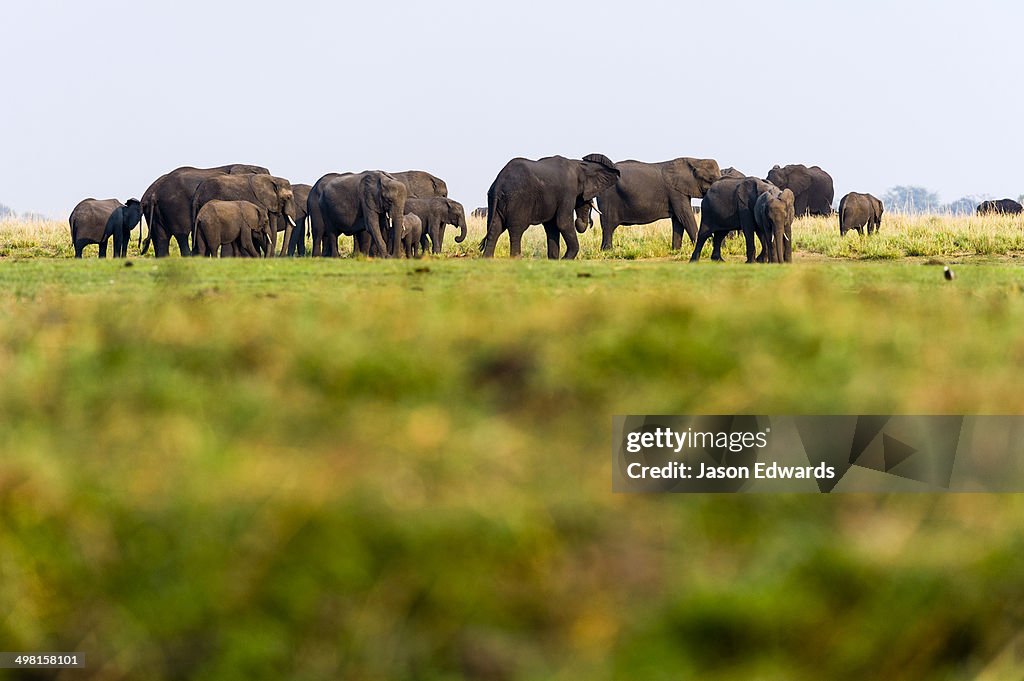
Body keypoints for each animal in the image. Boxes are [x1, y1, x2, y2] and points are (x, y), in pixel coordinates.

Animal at [477, 153, 614, 260]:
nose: (588, 223)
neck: (579, 164)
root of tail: (498, 185)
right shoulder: (567, 192)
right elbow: (563, 222)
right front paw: (565, 259)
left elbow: (552, 226)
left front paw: (553, 260)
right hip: (517, 199)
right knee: (516, 229)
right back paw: (516, 258)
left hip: (494, 201)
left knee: (495, 228)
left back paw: (487, 259)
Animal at [589, 155, 724, 249]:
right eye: (710, 179)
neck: (695, 160)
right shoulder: (675, 192)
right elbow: (685, 216)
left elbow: (678, 220)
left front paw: (676, 250)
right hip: (608, 198)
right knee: (608, 226)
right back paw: (607, 251)